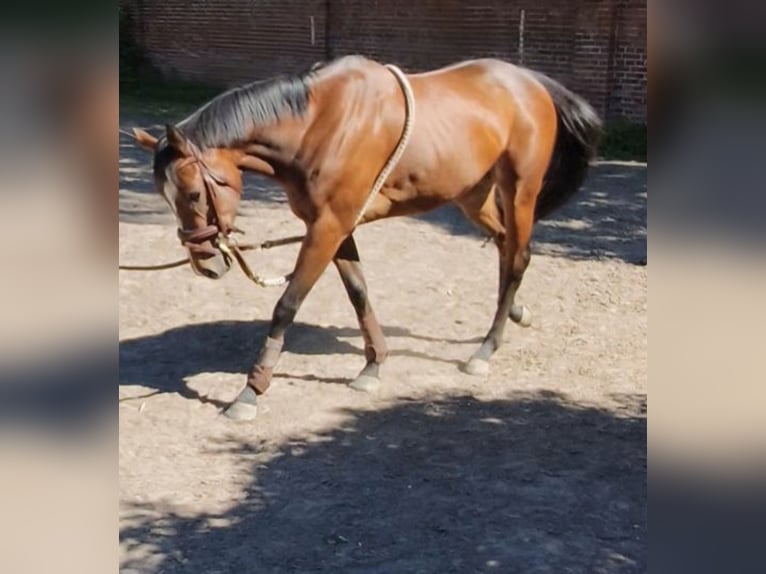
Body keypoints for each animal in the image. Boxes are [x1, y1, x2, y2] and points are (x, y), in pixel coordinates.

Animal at [130, 55, 601, 421]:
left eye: (193, 193)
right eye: (165, 198)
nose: (206, 263)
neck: (318, 125)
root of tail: (530, 83)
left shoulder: (328, 226)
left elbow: (287, 305)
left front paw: (251, 391)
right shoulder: (336, 225)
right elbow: (359, 292)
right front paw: (373, 366)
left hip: (519, 189)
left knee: (517, 255)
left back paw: (485, 350)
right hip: (473, 195)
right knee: (506, 248)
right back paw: (514, 311)